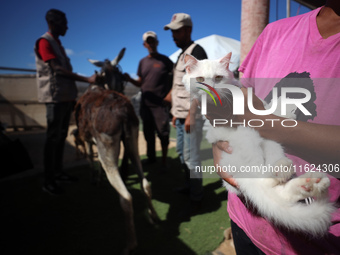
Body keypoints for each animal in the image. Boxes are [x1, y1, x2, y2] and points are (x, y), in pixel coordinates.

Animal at [183, 52, 334, 237]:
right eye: (200, 79)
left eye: (218, 78)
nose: (210, 89)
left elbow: (268, 110)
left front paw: (286, 109)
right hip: (249, 139)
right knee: (264, 182)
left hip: (270, 143)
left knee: (277, 189)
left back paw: (301, 179)